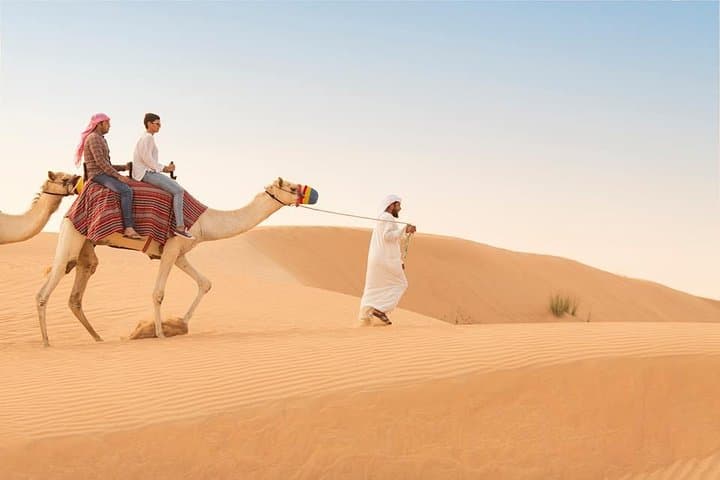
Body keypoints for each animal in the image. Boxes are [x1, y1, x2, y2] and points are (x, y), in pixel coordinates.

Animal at [36, 177, 317, 347]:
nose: (312, 193)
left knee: (75, 295)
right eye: (292, 188)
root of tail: (71, 208)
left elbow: (205, 283)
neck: (205, 222)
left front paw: (180, 323)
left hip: (86, 248)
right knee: (46, 289)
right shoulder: (171, 248)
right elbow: (158, 292)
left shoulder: (180, 253)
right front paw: (160, 333)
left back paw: (98, 338)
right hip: (73, 237)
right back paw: (47, 342)